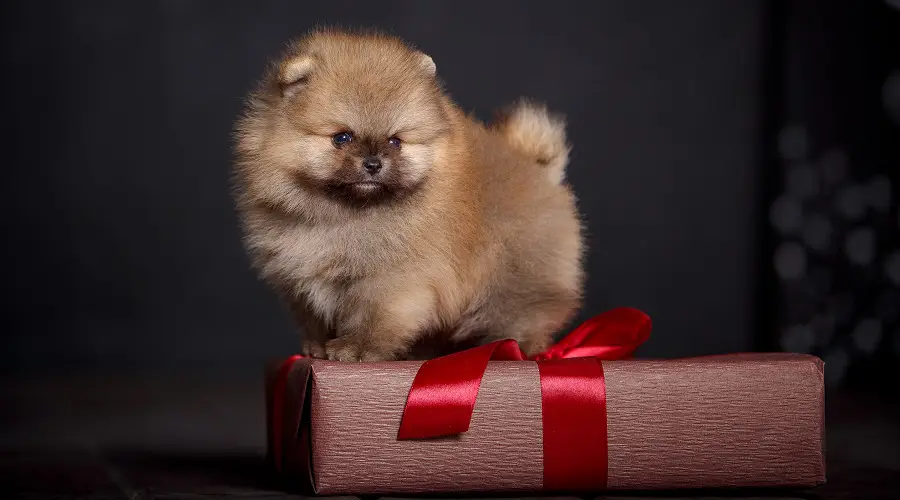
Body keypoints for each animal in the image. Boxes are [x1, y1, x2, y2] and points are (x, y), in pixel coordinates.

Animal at [232, 29, 584, 362]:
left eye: (395, 142)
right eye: (342, 138)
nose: (373, 163)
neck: (343, 213)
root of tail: (537, 168)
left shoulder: (391, 279)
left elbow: (375, 316)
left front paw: (358, 348)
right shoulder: (301, 277)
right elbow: (315, 317)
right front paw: (317, 347)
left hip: (515, 274)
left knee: (525, 309)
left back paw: (518, 346)